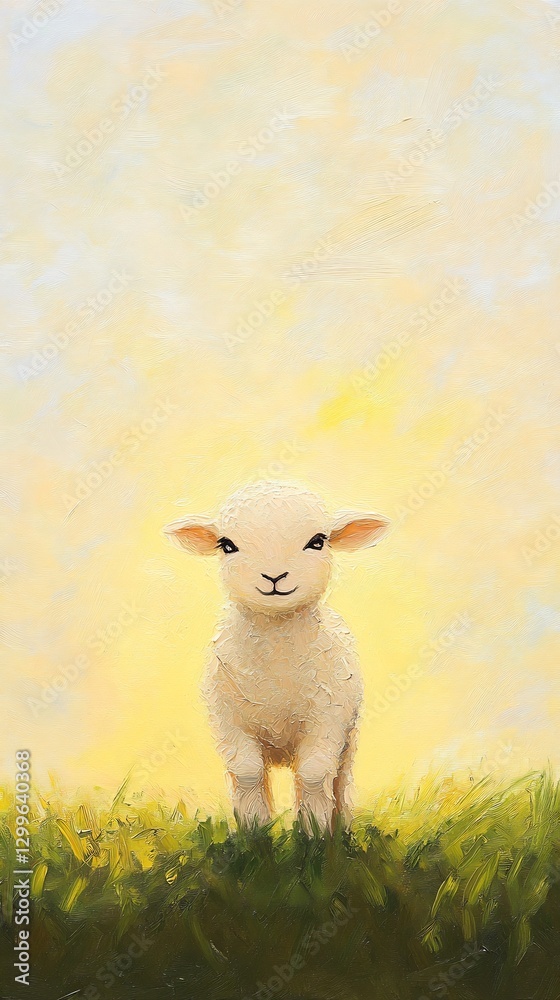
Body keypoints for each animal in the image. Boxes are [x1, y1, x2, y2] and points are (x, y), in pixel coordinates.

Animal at [164, 481, 390, 833]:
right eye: (227, 545)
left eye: (318, 541)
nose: (274, 577)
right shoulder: (227, 718)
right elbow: (246, 772)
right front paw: (255, 835)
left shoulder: (327, 716)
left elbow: (314, 774)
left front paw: (312, 836)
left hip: (349, 734)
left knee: (341, 780)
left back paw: (341, 830)